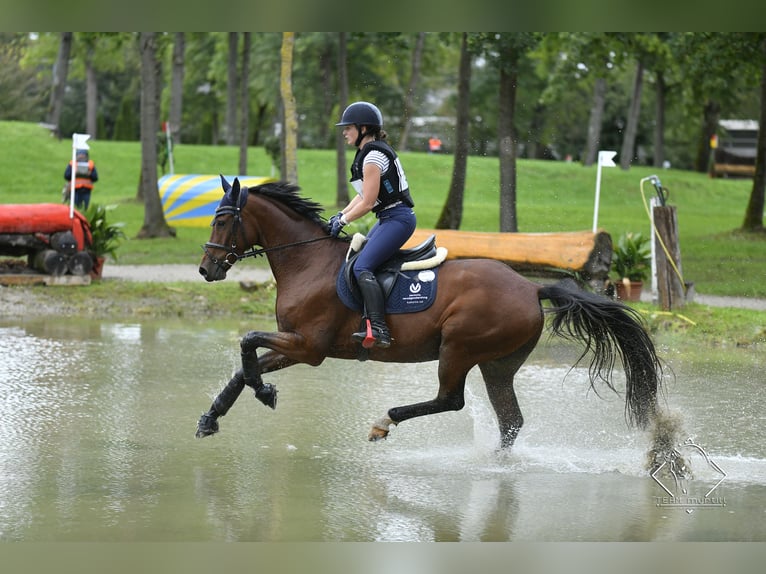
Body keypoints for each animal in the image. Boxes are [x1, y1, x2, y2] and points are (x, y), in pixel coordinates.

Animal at [196, 177, 664, 450]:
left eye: (221, 220)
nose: (206, 269)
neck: (306, 261)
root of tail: (531, 287)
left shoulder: (309, 347)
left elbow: (247, 345)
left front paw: (263, 392)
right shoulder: (294, 343)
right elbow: (243, 367)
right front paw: (211, 417)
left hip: (459, 347)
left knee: (451, 400)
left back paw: (384, 422)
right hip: (498, 364)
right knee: (510, 419)